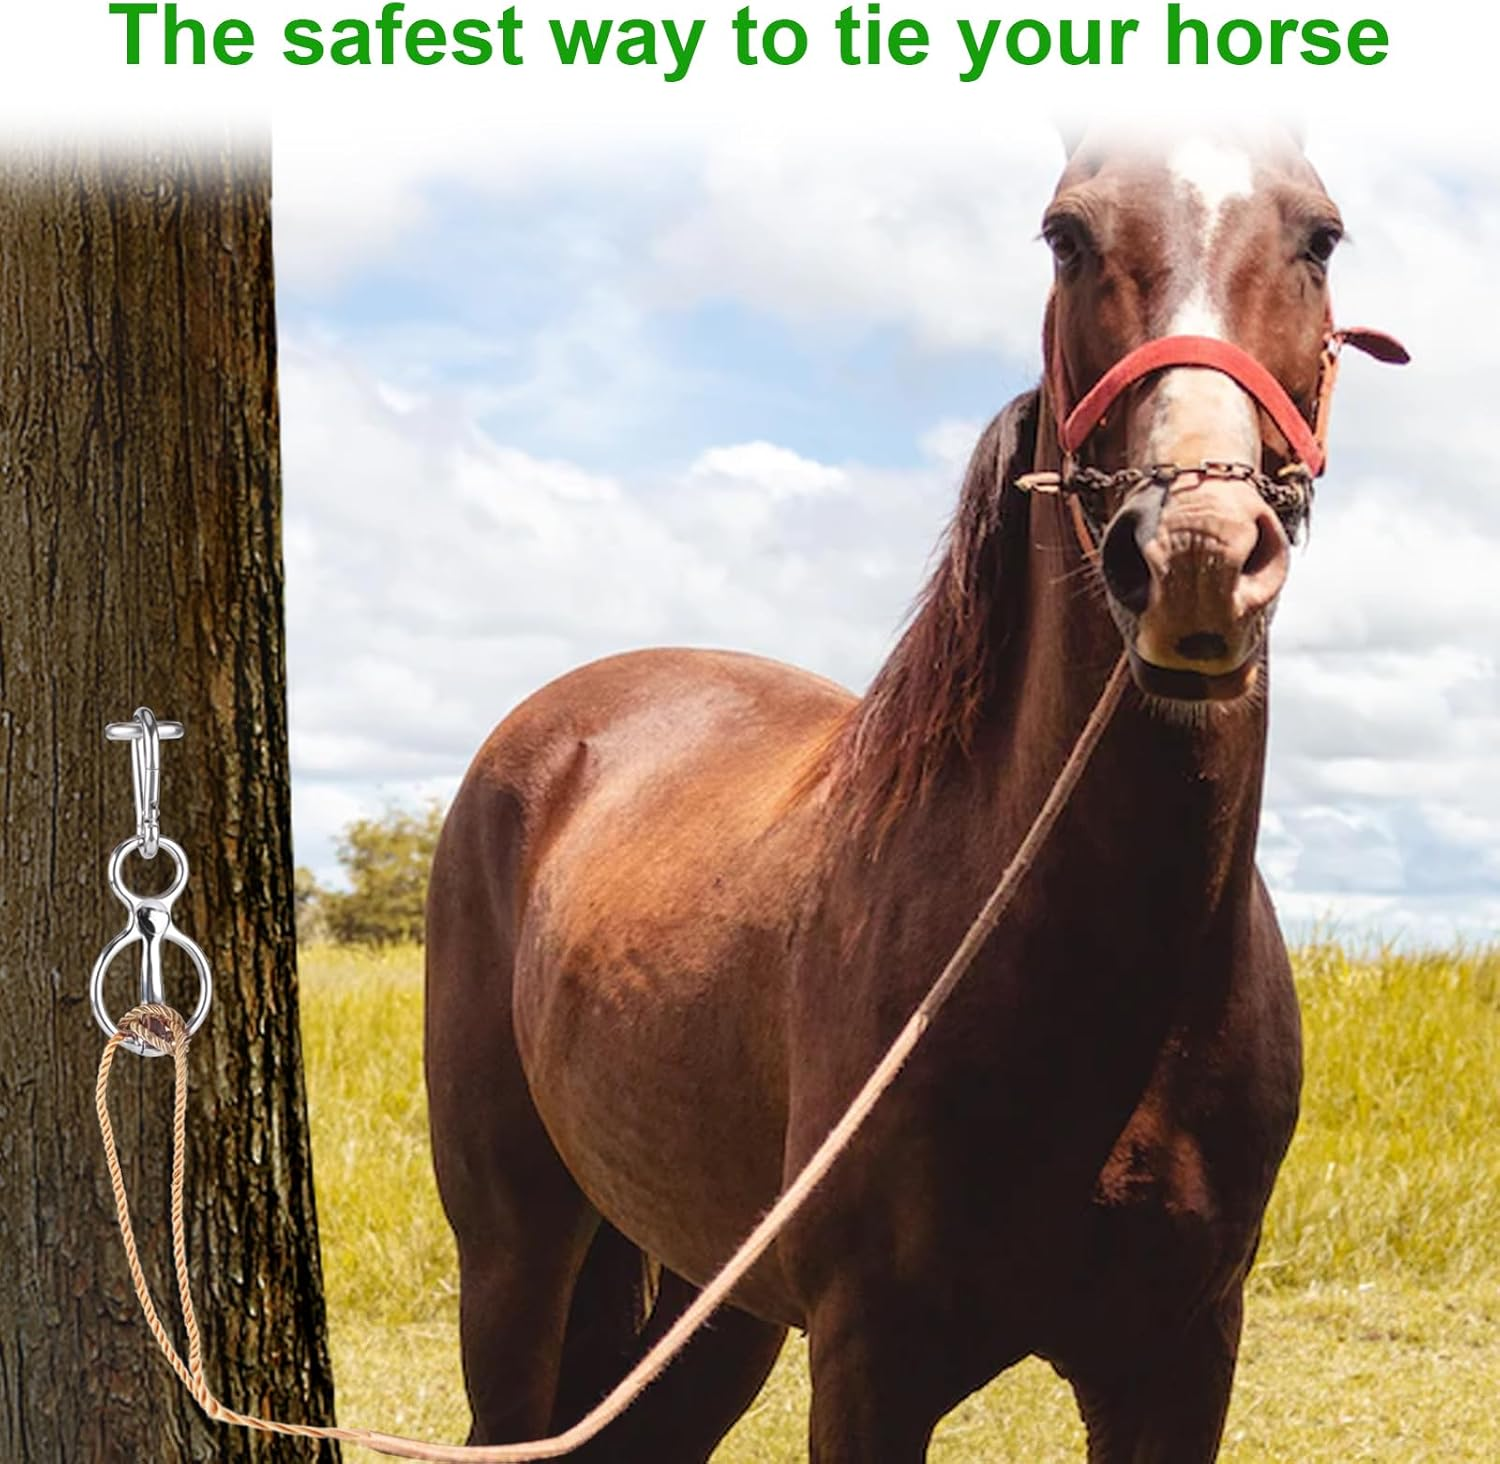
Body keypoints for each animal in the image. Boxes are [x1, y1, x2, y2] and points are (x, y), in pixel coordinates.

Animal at [423, 125, 1404, 1462]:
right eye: (1066, 233)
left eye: (1321, 235)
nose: (1198, 553)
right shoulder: (870, 1364)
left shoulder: (1180, 1361)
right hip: (516, 1252)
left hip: (713, 1301)